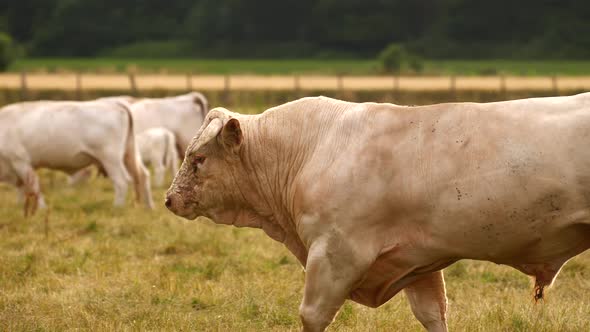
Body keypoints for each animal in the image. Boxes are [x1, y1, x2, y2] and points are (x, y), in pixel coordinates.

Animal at [0, 99, 155, 213]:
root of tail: (114, 103)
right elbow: (23, 188)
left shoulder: (20, 162)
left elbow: (33, 186)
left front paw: (42, 209)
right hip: (129, 153)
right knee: (143, 175)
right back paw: (149, 207)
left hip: (111, 159)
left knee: (122, 181)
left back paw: (116, 208)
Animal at [165, 94, 590, 332]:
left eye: (198, 159)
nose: (170, 199)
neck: (311, 149)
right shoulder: (420, 258)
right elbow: (434, 314)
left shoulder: (335, 253)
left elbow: (312, 315)